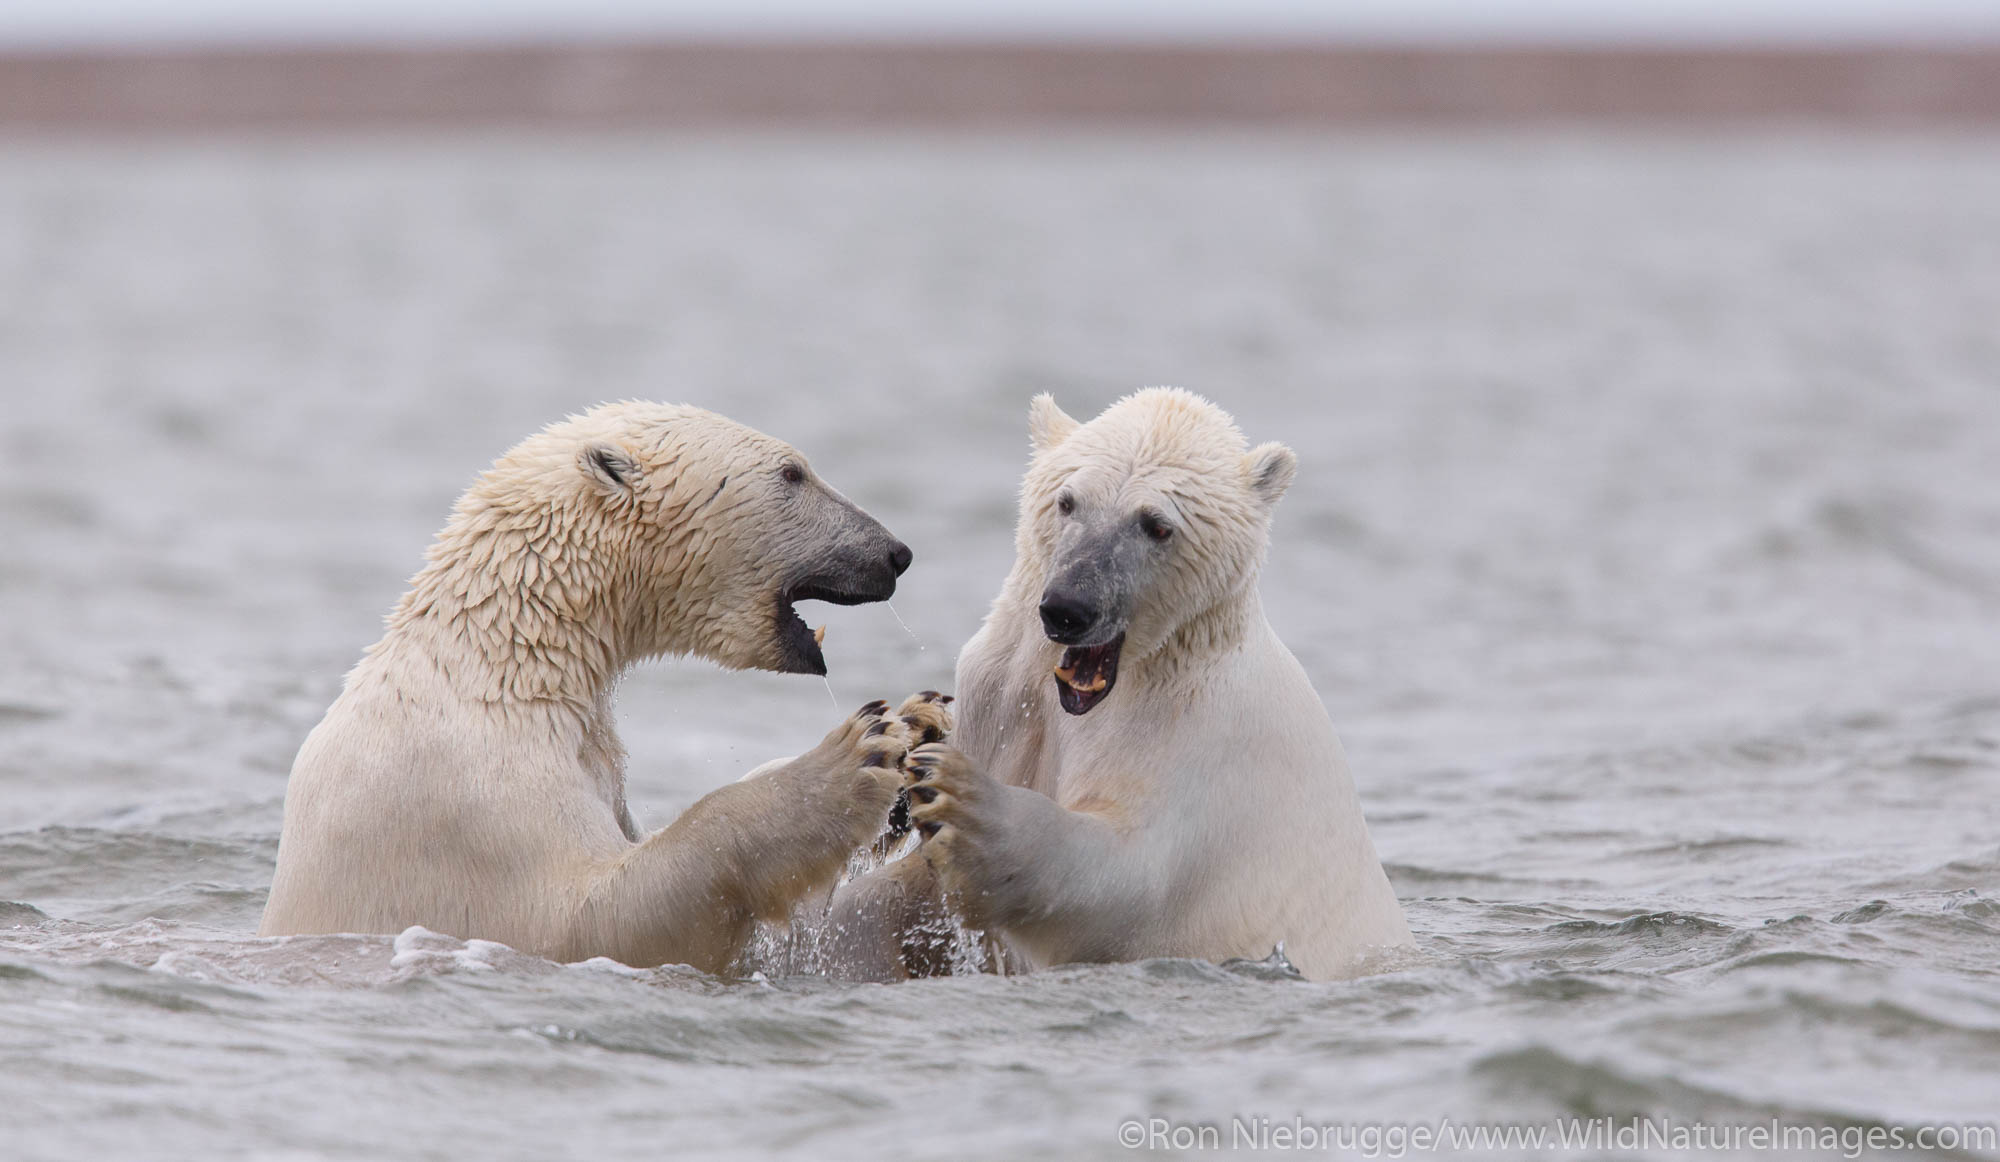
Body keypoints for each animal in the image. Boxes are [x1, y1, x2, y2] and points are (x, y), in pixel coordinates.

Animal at [262, 398, 948, 968]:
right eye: (793, 473)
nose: (896, 553)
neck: (506, 665)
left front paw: (921, 727)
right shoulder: (461, 797)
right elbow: (594, 918)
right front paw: (852, 758)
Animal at [900, 390, 1416, 980]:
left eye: (1156, 525)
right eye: (1068, 502)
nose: (1068, 608)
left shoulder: (1201, 746)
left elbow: (1128, 877)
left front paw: (955, 799)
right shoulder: (1005, 685)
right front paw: (915, 728)